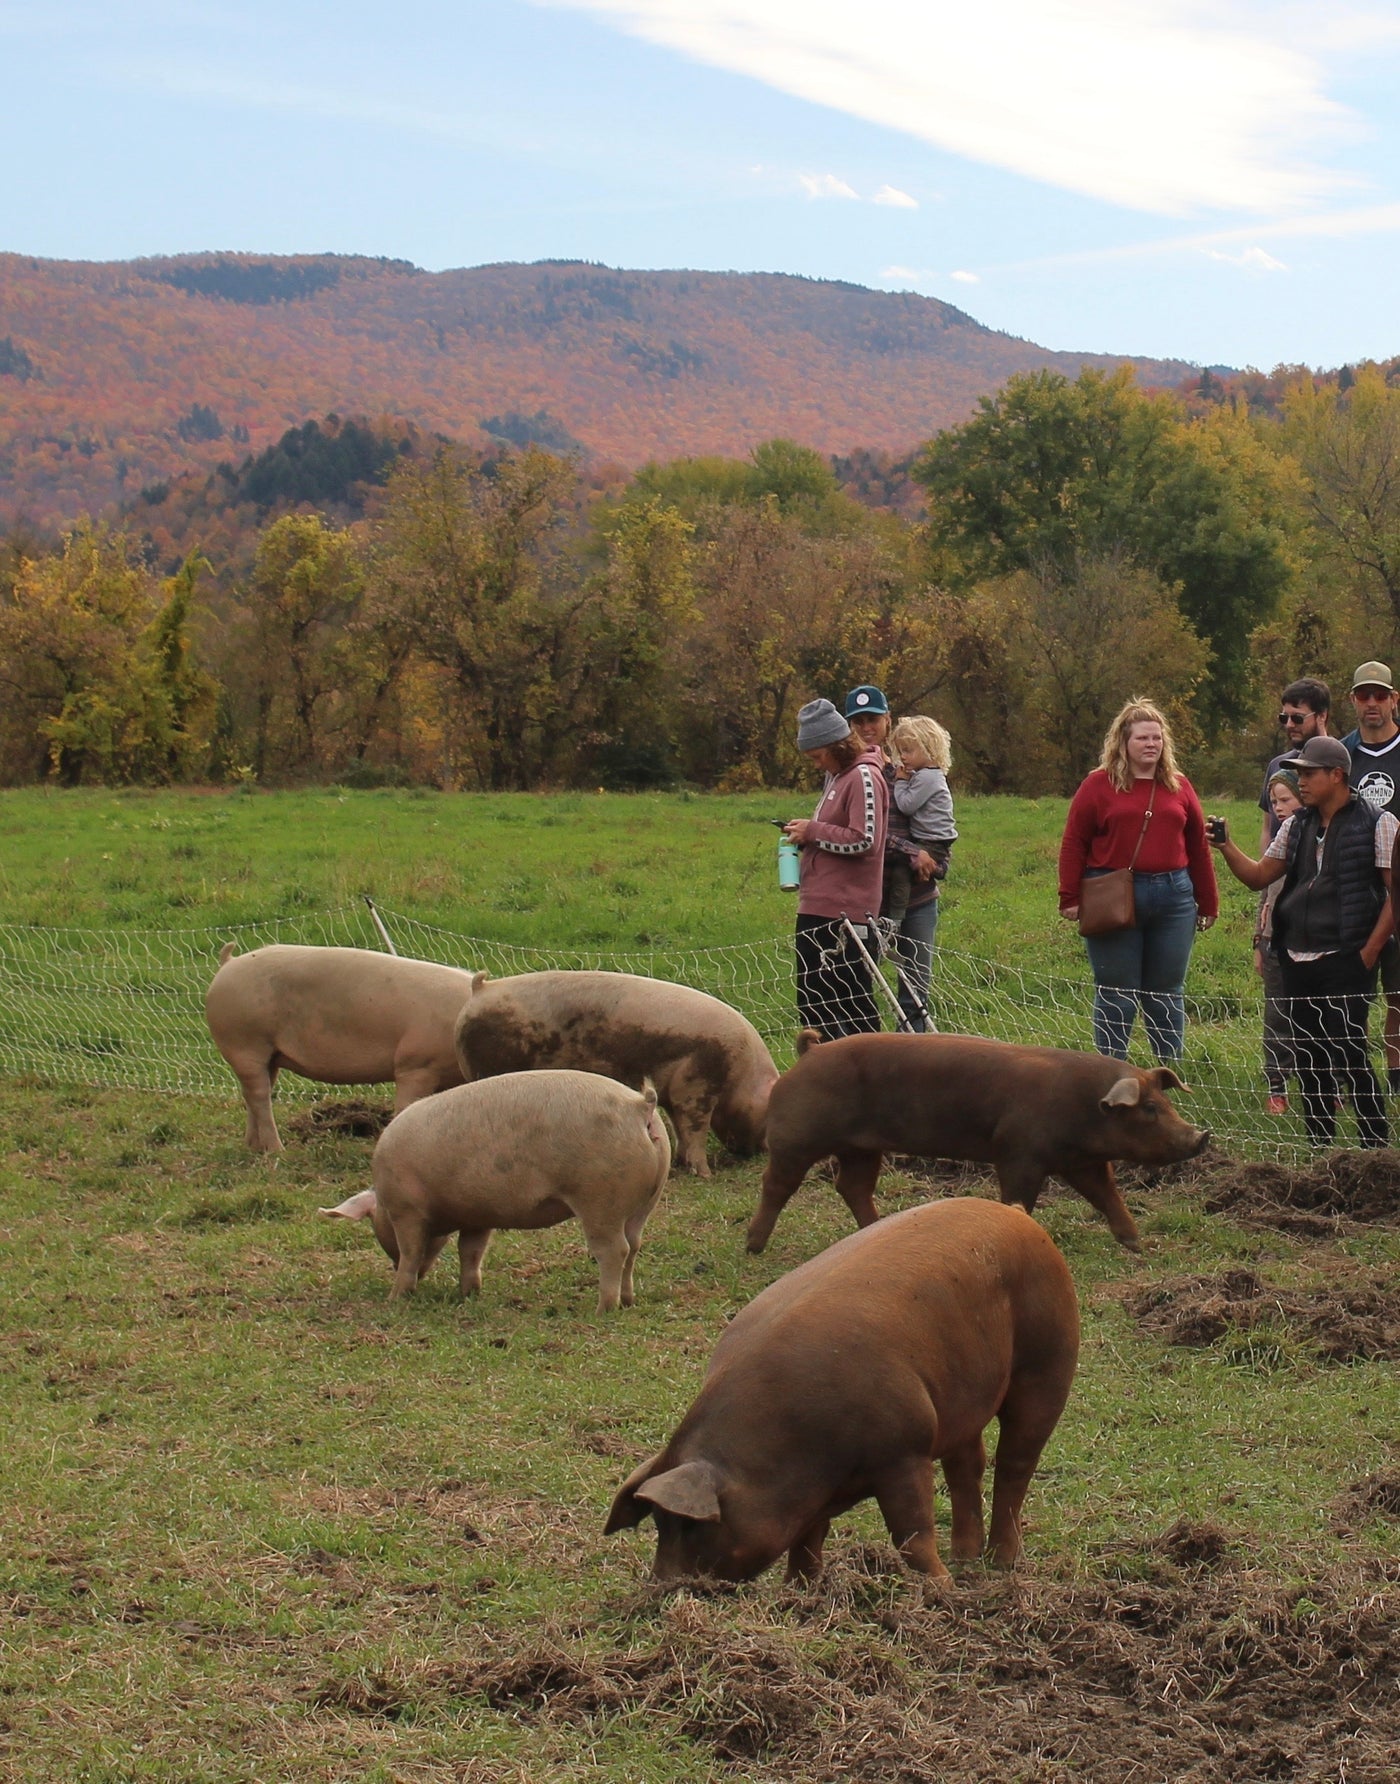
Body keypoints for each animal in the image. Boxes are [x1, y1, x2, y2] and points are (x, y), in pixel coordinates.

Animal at [200, 941, 474, 1148]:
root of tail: (229, 962)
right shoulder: (415, 1065)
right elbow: (406, 1105)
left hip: (269, 1054)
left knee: (252, 1093)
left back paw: (253, 1147)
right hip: (244, 1043)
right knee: (259, 1094)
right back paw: (277, 1150)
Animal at [319, 1063, 670, 1320]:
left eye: (376, 1224)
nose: (393, 1271)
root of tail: (639, 1107)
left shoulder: (407, 1210)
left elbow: (412, 1252)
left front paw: (396, 1298)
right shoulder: (478, 1216)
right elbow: (470, 1252)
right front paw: (468, 1294)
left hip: (600, 1198)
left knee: (614, 1250)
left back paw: (602, 1310)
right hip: (645, 1200)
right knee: (634, 1245)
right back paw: (628, 1301)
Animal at [452, 970, 774, 1177]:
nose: (763, 1152)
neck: (742, 1076)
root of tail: (481, 990)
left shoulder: (674, 1093)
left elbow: (680, 1129)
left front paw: (681, 1164)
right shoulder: (697, 1083)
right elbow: (695, 1128)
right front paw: (706, 1174)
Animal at [606, 1191, 1077, 1584]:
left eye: (691, 1525)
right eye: (658, 1525)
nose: (660, 1587)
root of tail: (1016, 1215)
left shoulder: (904, 1450)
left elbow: (911, 1535)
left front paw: (940, 1589)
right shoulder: (812, 1495)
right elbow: (807, 1539)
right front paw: (802, 1593)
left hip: (1048, 1358)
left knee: (1015, 1463)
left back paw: (998, 1565)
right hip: (960, 1400)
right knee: (967, 1466)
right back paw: (964, 1560)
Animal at [741, 1027, 1212, 1263]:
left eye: (1166, 1102)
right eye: (1148, 1108)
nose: (1201, 1136)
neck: (1082, 1107)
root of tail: (808, 1053)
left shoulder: (1081, 1162)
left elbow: (1107, 1196)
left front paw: (1138, 1245)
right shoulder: (1018, 1154)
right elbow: (1019, 1197)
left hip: (862, 1148)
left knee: (852, 1186)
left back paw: (873, 1230)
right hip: (796, 1137)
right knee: (776, 1185)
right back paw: (753, 1247)